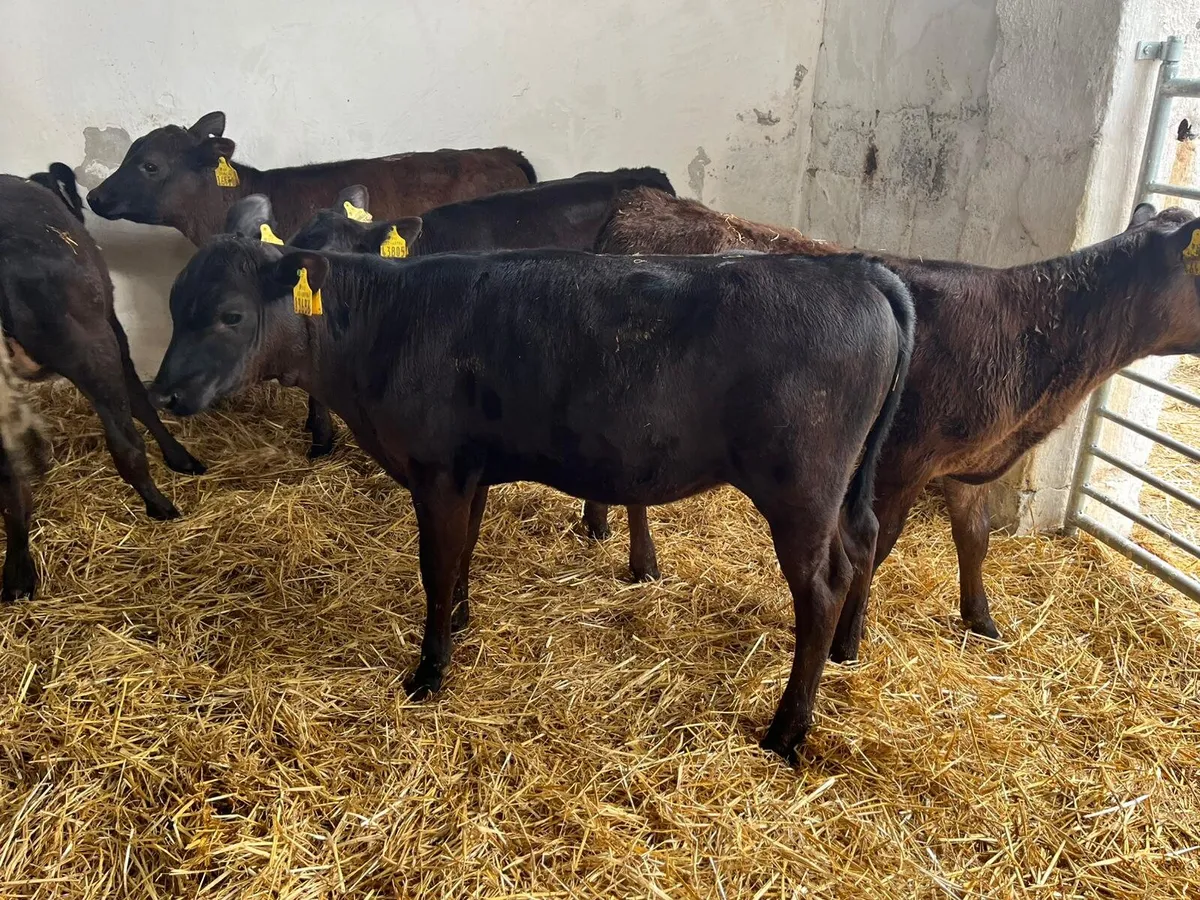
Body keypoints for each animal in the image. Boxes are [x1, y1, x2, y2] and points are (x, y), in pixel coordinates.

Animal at [0, 167, 204, 520]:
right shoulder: (113, 329)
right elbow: (140, 400)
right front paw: (180, 458)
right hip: (93, 348)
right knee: (125, 443)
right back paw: (162, 507)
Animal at [148, 240, 914, 761]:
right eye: (173, 309)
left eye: (230, 314)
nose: (164, 393)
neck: (382, 327)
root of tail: (854, 270)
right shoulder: (469, 472)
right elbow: (462, 554)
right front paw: (460, 624)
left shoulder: (436, 469)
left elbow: (435, 566)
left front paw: (430, 672)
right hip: (837, 490)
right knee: (863, 542)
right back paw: (846, 652)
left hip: (800, 487)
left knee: (821, 586)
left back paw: (786, 729)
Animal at [595, 186, 1200, 661]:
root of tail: (644, 202)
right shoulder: (903, 463)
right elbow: (877, 549)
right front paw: (846, 642)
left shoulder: (962, 463)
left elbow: (974, 540)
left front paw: (982, 620)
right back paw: (637, 556)